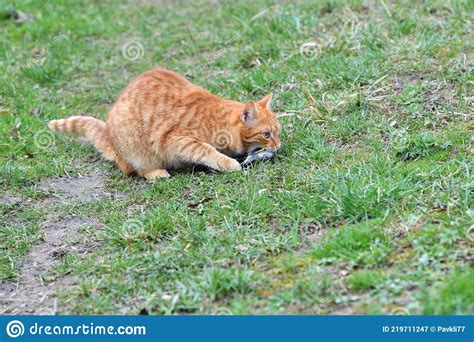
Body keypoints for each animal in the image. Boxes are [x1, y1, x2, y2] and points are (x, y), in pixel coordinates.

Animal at [49, 67, 278, 179]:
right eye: (267, 134)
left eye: (278, 132)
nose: (278, 146)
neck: (217, 120)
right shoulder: (176, 139)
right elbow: (207, 151)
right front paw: (229, 163)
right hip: (138, 152)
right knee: (138, 170)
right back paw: (157, 173)